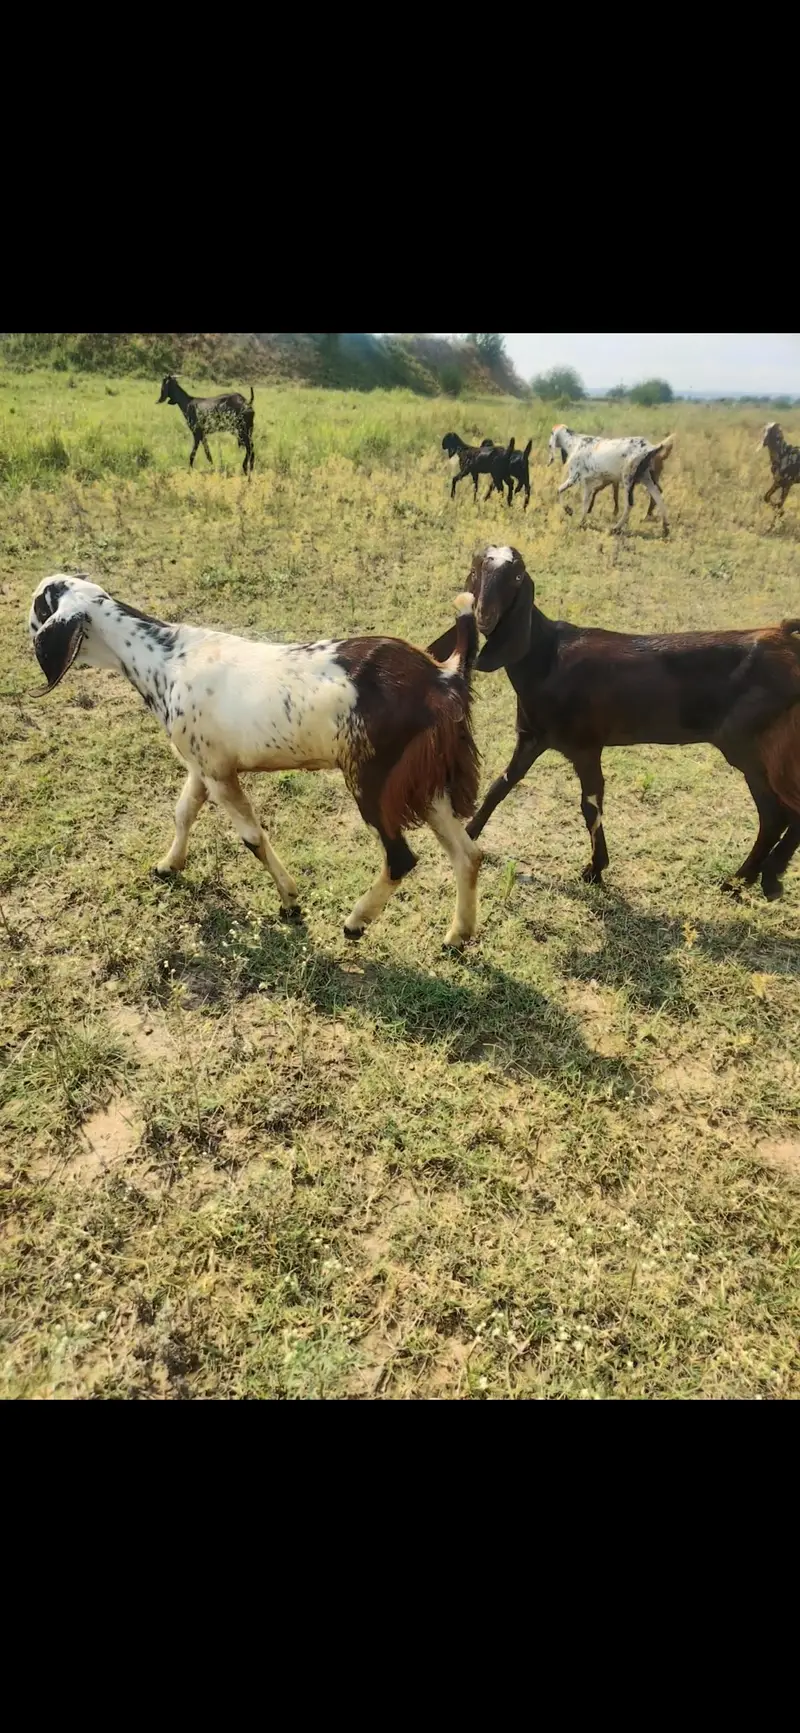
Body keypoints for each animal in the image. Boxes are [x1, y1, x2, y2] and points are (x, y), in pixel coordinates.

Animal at [28, 577, 483, 947]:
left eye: (39, 607)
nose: (24, 632)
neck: (165, 659)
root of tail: (442, 678)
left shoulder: (219, 772)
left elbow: (251, 838)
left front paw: (290, 901)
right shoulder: (202, 766)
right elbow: (184, 812)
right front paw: (168, 865)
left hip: (373, 779)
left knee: (402, 858)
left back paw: (356, 922)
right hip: (422, 780)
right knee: (468, 854)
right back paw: (457, 936)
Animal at [429, 546, 800, 900]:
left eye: (518, 577)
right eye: (476, 570)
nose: (484, 616)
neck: (547, 658)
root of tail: (786, 638)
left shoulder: (585, 745)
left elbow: (590, 804)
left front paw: (595, 869)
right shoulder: (533, 736)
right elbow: (501, 785)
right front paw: (470, 833)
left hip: (752, 745)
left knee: (780, 812)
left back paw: (757, 879)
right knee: (777, 815)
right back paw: (750, 880)